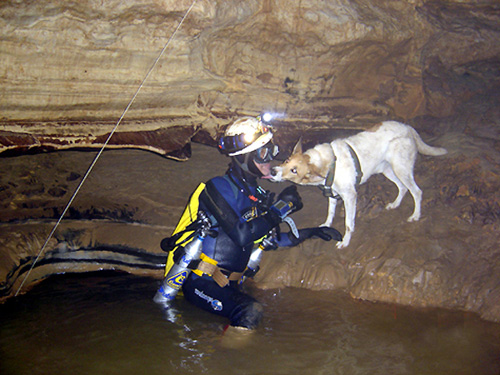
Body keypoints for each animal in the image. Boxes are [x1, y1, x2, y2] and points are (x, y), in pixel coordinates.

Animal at [272, 122, 448, 248]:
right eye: (286, 160)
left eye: (294, 170)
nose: (273, 171)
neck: (325, 164)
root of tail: (408, 127)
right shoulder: (332, 194)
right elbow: (330, 213)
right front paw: (326, 225)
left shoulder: (350, 196)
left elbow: (349, 224)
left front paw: (345, 242)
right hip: (387, 170)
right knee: (403, 188)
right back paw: (395, 204)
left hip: (401, 169)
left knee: (417, 192)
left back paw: (415, 215)